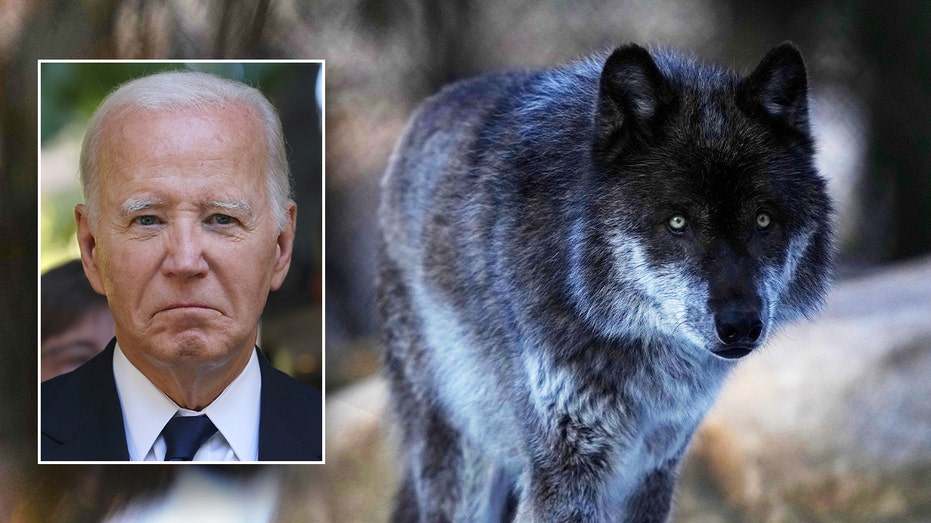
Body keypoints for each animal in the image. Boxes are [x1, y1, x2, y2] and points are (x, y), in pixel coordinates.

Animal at [378, 42, 835, 522]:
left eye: (763, 221)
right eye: (677, 222)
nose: (740, 324)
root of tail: (426, 109)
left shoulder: (654, 466)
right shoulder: (566, 471)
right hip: (461, 463)